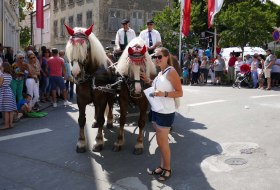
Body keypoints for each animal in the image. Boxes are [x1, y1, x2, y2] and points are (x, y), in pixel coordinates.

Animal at [64, 24, 116, 153]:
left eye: (86, 48)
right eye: (70, 48)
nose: (76, 73)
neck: (92, 75)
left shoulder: (102, 98)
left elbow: (102, 118)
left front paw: (98, 141)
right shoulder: (81, 100)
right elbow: (81, 120)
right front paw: (81, 142)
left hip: (110, 94)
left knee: (110, 106)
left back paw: (110, 120)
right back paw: (95, 121)